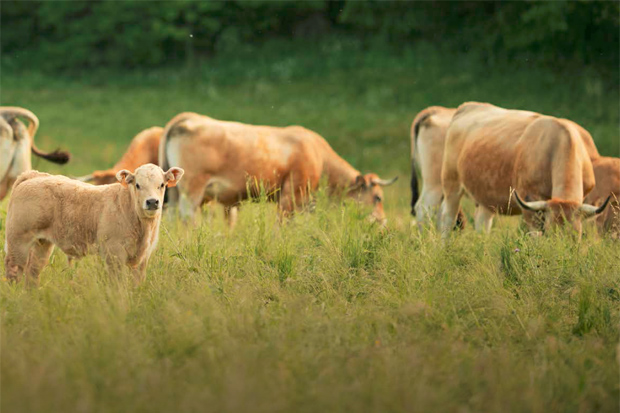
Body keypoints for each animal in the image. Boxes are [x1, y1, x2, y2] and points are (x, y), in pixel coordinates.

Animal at [4, 162, 184, 284]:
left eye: (162, 184)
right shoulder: (114, 254)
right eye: (137, 185)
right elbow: (117, 285)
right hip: (18, 241)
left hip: (42, 244)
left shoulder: (143, 258)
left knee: (32, 272)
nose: (152, 202)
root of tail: (34, 175)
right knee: (14, 271)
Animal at [159, 112, 398, 225]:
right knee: (187, 217)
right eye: (378, 197)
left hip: (174, 191)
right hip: (192, 189)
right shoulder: (290, 197)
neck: (320, 158)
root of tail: (187, 118)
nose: (383, 222)